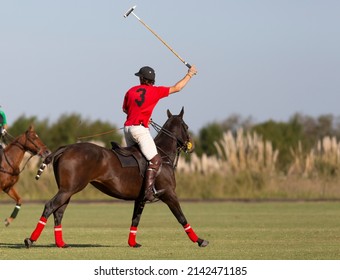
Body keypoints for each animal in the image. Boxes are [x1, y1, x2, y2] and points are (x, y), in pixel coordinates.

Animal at [23, 108, 209, 248]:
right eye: (186, 126)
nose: (191, 146)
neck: (162, 155)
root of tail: (66, 148)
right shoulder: (169, 193)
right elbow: (181, 217)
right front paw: (200, 240)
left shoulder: (140, 198)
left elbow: (136, 219)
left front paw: (133, 243)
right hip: (69, 188)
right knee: (50, 206)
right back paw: (30, 240)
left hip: (67, 189)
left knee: (59, 211)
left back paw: (61, 243)